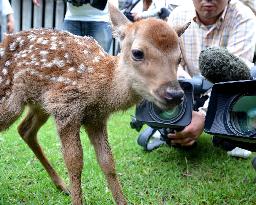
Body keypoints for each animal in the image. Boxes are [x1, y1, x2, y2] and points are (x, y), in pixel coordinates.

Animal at [0, 4, 188, 205]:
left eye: (179, 58)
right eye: (137, 53)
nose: (174, 94)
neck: (101, 86)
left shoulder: (96, 118)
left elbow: (107, 161)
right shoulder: (66, 107)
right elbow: (75, 163)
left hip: (39, 104)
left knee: (25, 129)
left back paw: (61, 185)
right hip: (10, 101)